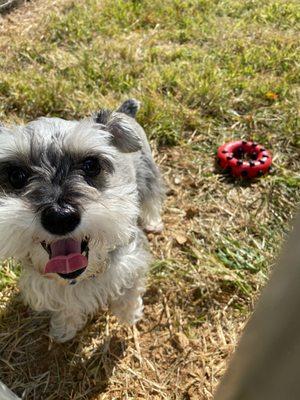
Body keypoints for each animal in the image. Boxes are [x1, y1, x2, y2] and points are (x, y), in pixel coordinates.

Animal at [0, 98, 164, 342]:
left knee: (152, 199)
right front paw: (64, 329)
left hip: (148, 173)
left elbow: (129, 289)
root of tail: (123, 111)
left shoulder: (132, 256)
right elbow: (66, 305)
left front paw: (129, 314)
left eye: (91, 165)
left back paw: (153, 222)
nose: (60, 217)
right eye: (16, 176)